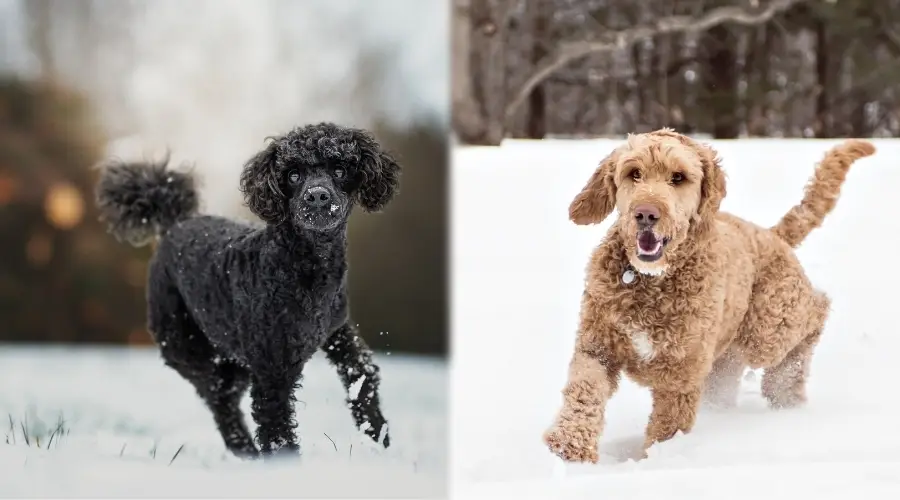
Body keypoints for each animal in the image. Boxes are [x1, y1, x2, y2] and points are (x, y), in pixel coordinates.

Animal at [544, 128, 876, 460]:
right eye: (633, 173)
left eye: (678, 177)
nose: (646, 214)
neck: (650, 281)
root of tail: (772, 235)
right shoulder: (597, 346)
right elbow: (585, 389)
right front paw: (569, 445)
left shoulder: (681, 373)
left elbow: (668, 424)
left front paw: (659, 458)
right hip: (727, 355)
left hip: (769, 327)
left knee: (817, 311)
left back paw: (786, 388)